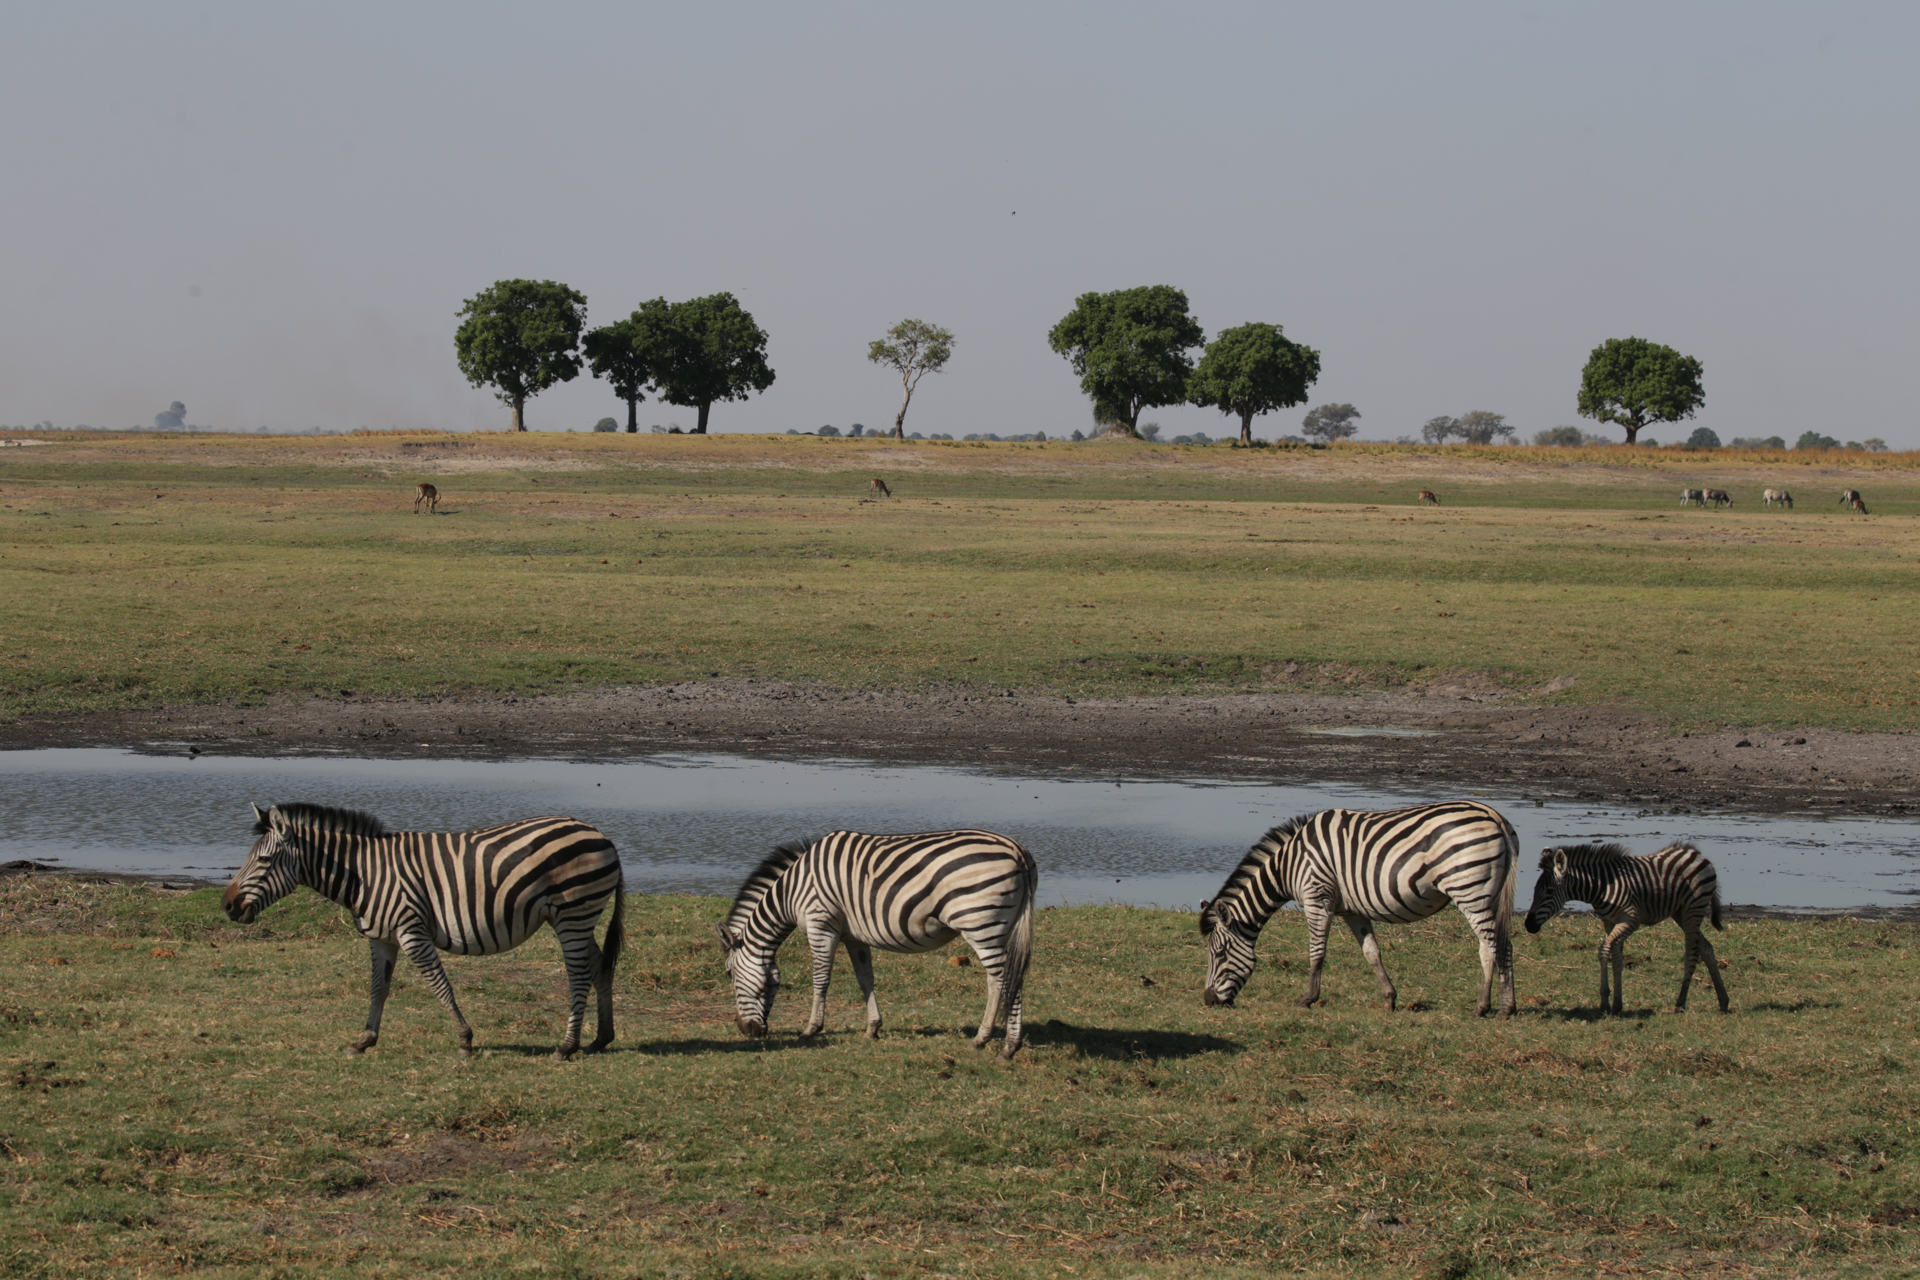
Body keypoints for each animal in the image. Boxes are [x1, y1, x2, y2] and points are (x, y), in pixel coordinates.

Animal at [220, 802, 622, 1059]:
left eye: (264, 860)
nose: (227, 906)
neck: (364, 873)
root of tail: (603, 835)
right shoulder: (381, 938)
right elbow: (378, 988)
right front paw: (364, 1040)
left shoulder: (411, 931)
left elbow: (440, 986)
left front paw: (465, 1041)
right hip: (576, 918)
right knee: (600, 966)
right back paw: (601, 1039)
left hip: (572, 915)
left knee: (578, 975)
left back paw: (566, 1047)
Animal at [718, 832, 1036, 1059]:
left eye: (729, 974)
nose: (746, 1030)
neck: (792, 890)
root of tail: (1017, 851)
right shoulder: (854, 937)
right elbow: (865, 979)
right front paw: (873, 1028)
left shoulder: (821, 924)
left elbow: (821, 979)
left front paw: (810, 1030)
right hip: (1000, 926)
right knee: (1003, 980)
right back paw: (986, 1040)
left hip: (980, 923)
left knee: (1005, 980)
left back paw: (1007, 1046)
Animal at [1198, 802, 1512, 1020]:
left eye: (1219, 954)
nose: (1209, 1001)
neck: (1289, 865)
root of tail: (1494, 814)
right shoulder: (1352, 911)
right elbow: (1371, 952)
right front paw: (1389, 999)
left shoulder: (1317, 899)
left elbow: (1316, 952)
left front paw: (1308, 998)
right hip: (1491, 895)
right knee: (1503, 945)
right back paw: (1505, 1007)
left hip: (1469, 890)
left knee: (1490, 947)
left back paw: (1486, 1007)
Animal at [1520, 844, 1735, 1013]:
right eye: (1534, 889)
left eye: (1549, 891)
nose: (1528, 925)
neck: (1601, 889)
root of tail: (1697, 853)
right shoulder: (1609, 922)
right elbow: (1617, 959)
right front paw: (1617, 1004)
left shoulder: (1630, 920)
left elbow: (1604, 950)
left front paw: (1605, 1002)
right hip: (1680, 912)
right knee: (1706, 948)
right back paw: (1723, 1002)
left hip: (1693, 909)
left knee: (1692, 952)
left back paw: (1680, 1004)